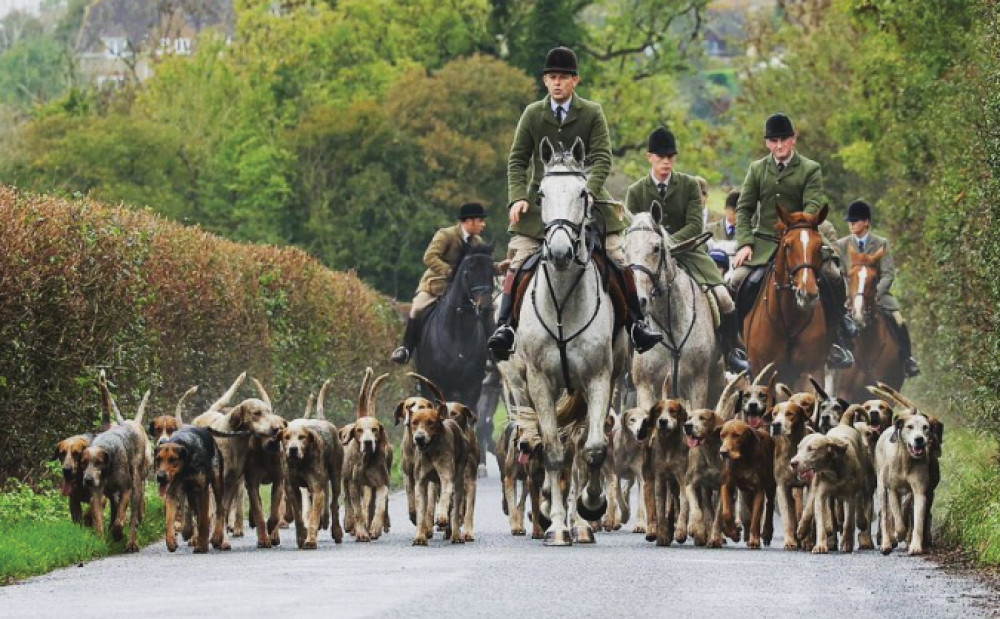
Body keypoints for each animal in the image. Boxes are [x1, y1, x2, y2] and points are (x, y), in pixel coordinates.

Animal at [412, 242, 494, 464]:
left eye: (492, 270)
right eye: (470, 270)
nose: (485, 306)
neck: (458, 333)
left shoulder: (473, 387)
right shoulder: (439, 385)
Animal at [516, 137, 624, 548]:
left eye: (582, 193)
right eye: (541, 194)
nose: (560, 253)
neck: (562, 299)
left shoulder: (598, 378)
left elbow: (592, 449)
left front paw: (590, 507)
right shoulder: (539, 381)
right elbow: (552, 450)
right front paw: (557, 524)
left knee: (579, 446)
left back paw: (582, 521)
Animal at [748, 208, 832, 392]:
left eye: (819, 246)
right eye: (788, 246)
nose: (807, 293)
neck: (788, 319)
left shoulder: (811, 370)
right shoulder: (764, 372)